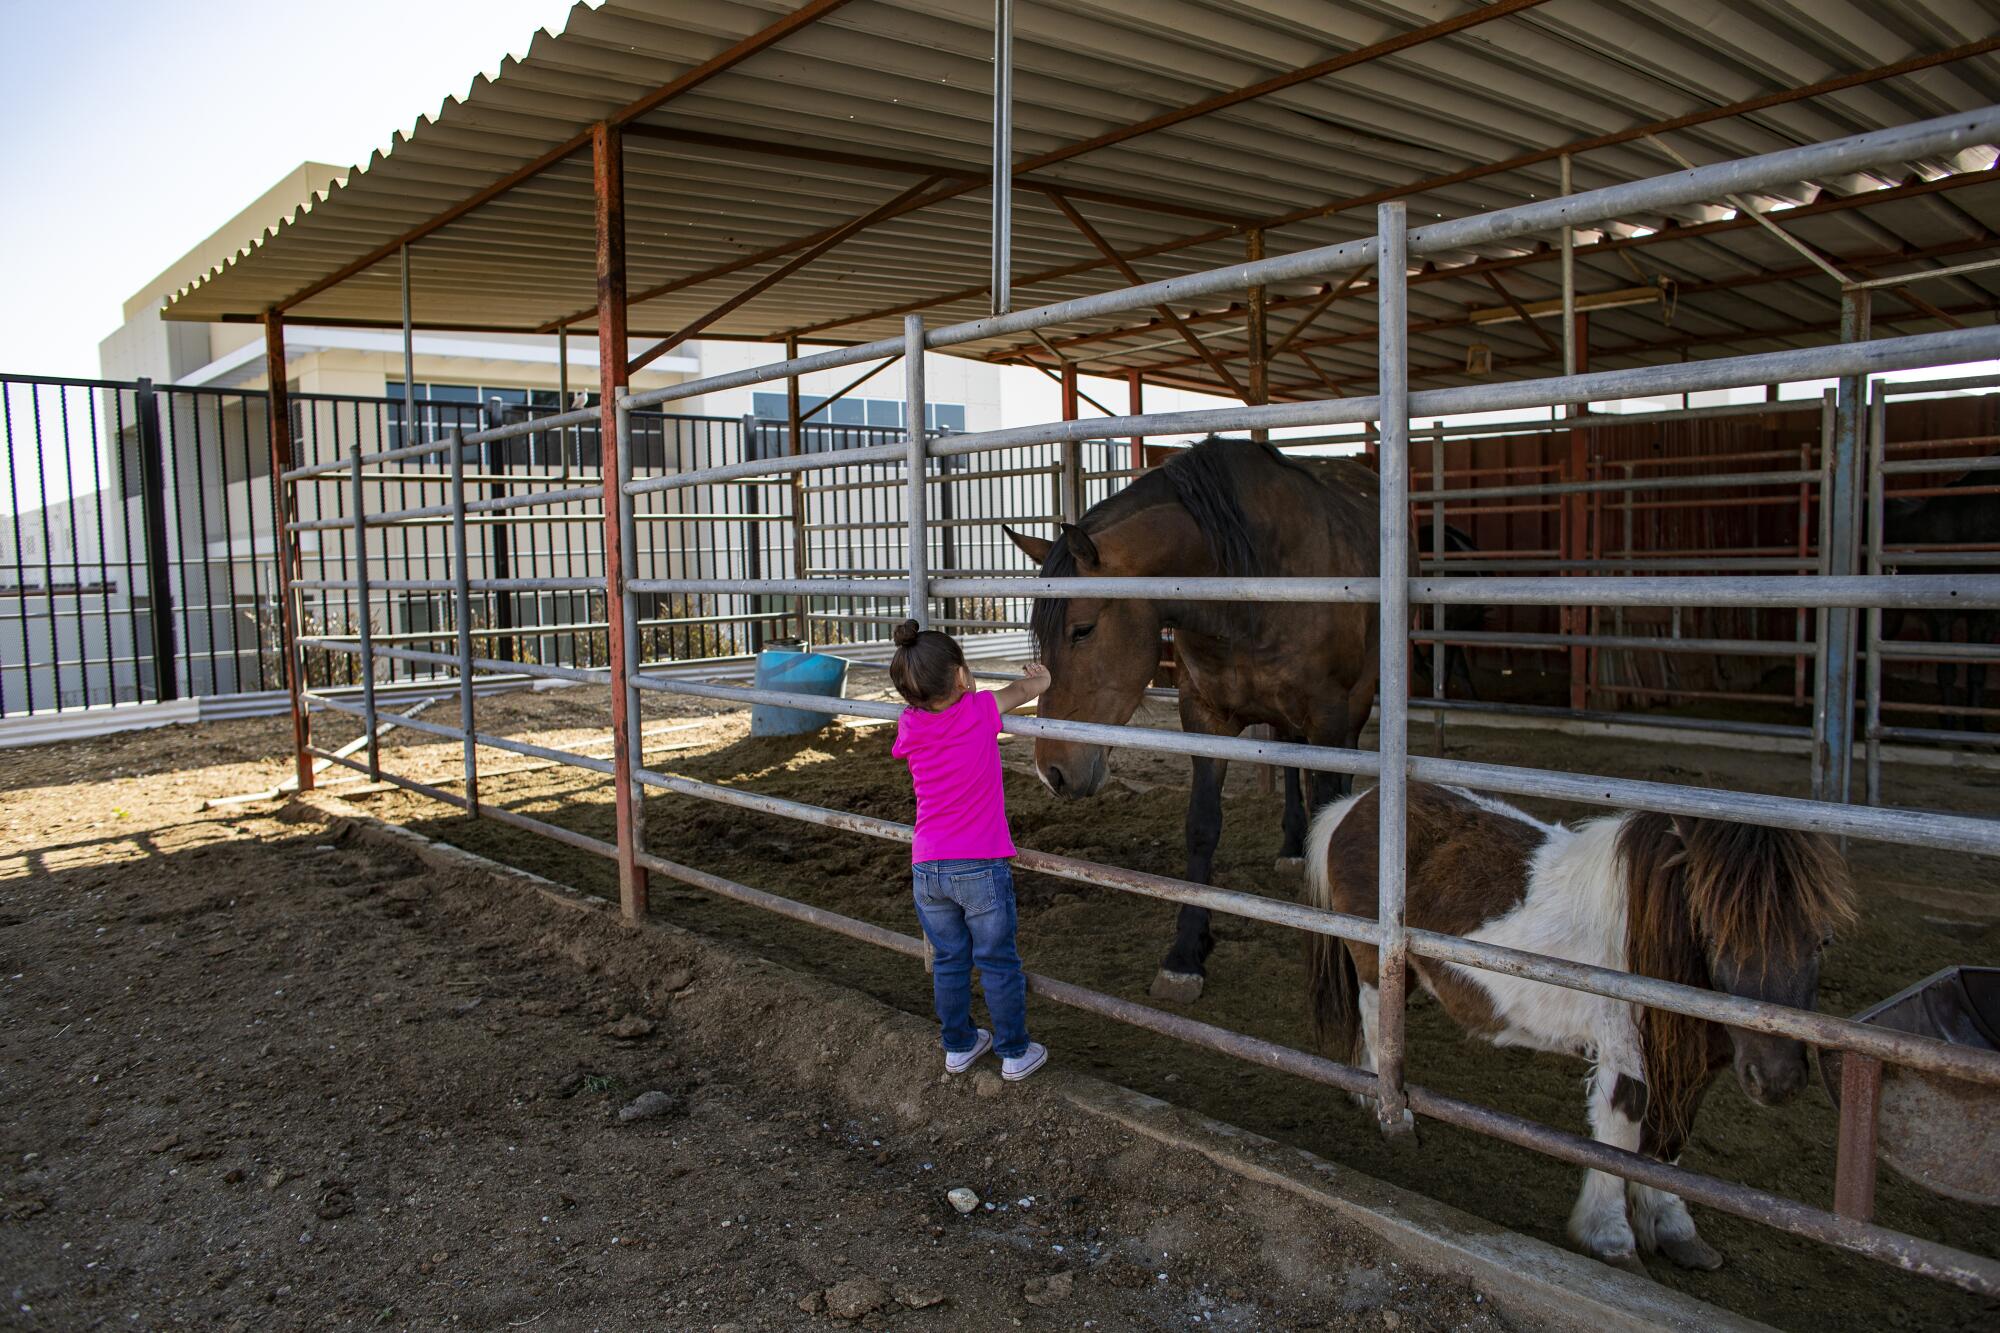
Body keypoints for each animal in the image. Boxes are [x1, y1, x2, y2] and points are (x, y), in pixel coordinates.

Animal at [1008, 436, 1384, 996]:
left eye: (1082, 630)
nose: (1050, 771)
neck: (1245, 582)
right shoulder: (1205, 717)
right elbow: (1202, 826)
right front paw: (1185, 955)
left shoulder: (1330, 715)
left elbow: (1329, 802)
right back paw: (1292, 846)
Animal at [1304, 784, 1848, 1272]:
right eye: (1717, 934)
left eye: (1824, 940)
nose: (1778, 1080)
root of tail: (1353, 807)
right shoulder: (1628, 1051)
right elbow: (1619, 1136)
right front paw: (1611, 1238)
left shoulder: (1690, 1062)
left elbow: (1670, 1141)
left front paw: (1673, 1226)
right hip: (1377, 964)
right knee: (1377, 1023)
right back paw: (1387, 1111)